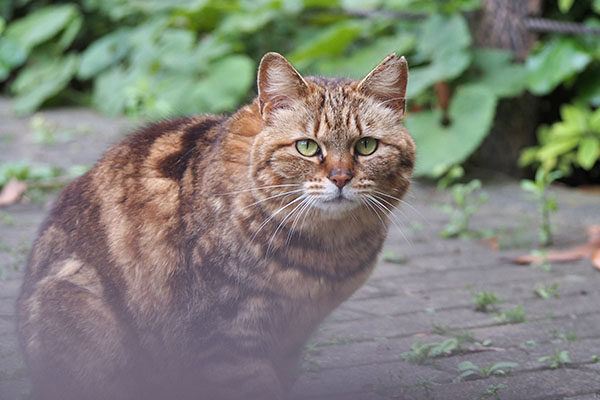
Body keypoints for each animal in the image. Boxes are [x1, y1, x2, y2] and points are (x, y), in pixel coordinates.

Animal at [16, 51, 414, 398]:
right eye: (306, 147)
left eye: (366, 146)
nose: (341, 178)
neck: (326, 252)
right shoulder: (224, 334)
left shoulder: (289, 339)